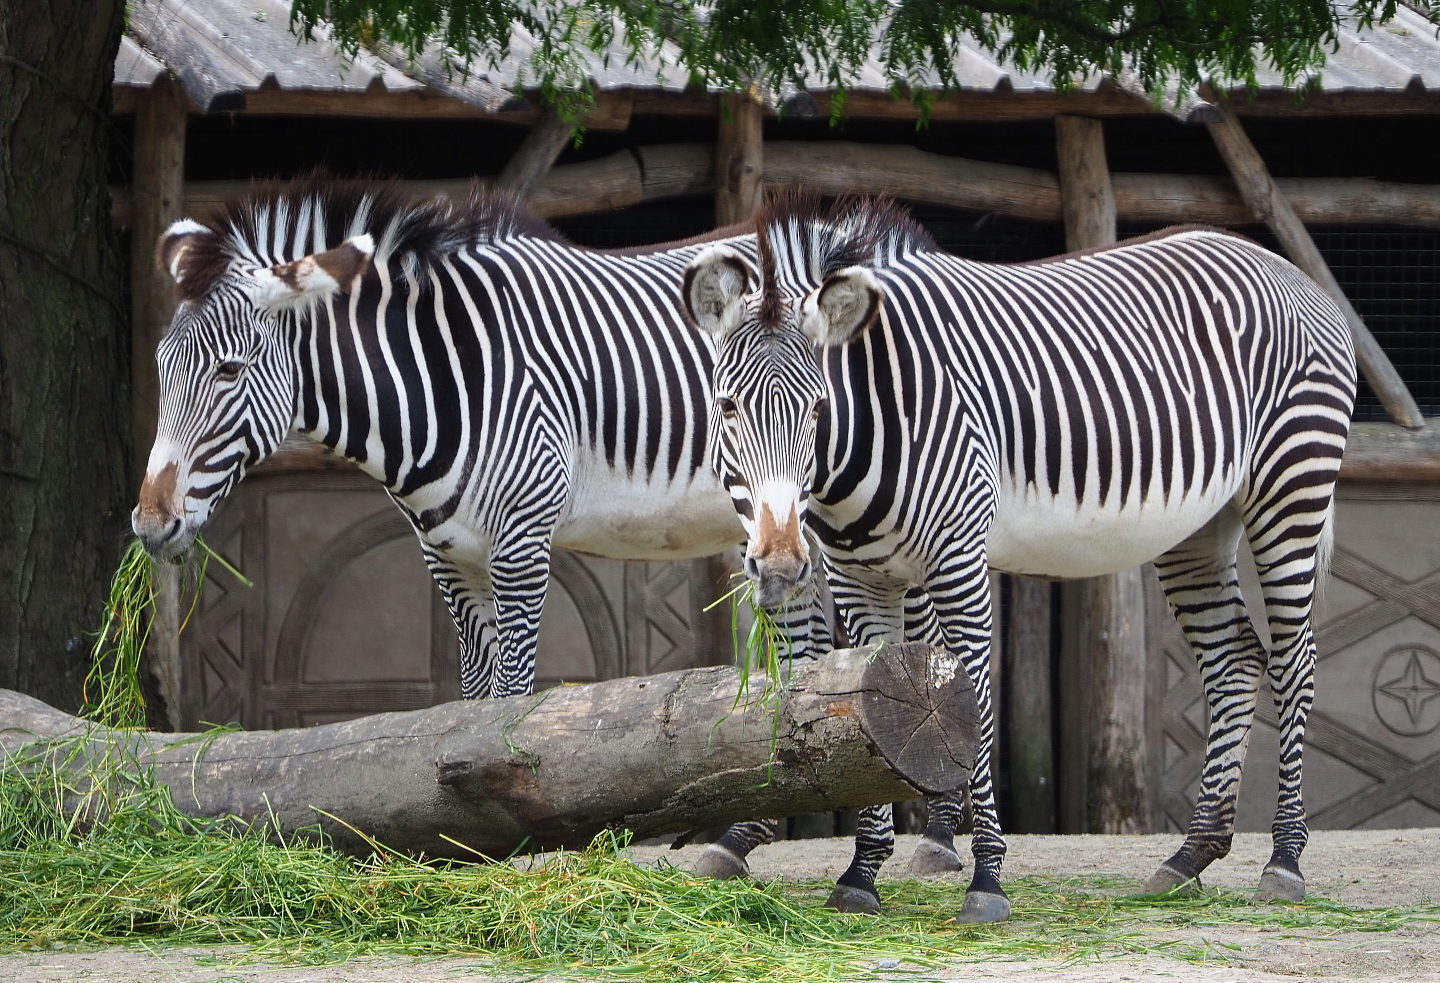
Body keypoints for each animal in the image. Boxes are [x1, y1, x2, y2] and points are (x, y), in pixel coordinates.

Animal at [126, 175, 958, 889]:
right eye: (160, 366)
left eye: (229, 370)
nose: (150, 523)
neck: (446, 377)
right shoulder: (446, 556)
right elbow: (464, 704)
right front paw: (453, 835)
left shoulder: (522, 543)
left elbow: (510, 701)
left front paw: (514, 850)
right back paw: (751, 837)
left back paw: (938, 837)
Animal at [680, 192, 1356, 923]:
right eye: (726, 406)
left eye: (817, 407)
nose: (779, 563)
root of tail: (1286, 268)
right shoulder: (859, 580)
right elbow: (863, 704)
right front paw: (861, 873)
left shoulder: (957, 557)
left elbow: (973, 696)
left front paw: (985, 879)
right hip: (1198, 527)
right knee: (1234, 661)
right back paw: (1189, 856)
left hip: (1292, 482)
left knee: (1294, 661)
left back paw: (1283, 858)